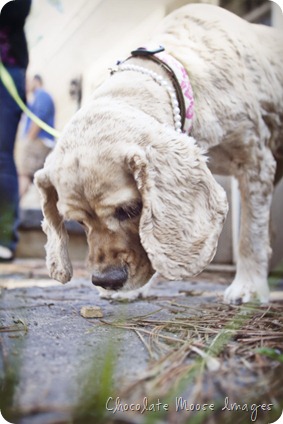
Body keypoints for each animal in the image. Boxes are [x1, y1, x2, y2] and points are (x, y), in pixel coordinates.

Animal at [35, 2, 283, 302]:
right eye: (78, 222)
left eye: (131, 209)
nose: (107, 280)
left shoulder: (255, 160)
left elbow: (251, 232)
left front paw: (249, 287)